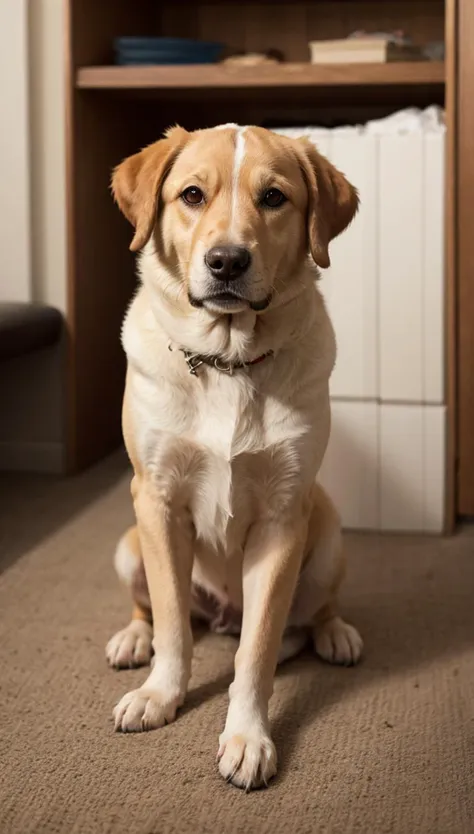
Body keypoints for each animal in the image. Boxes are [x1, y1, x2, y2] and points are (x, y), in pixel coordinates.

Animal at [105, 122, 362, 788]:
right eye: (192, 195)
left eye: (274, 198)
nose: (226, 261)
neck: (227, 361)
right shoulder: (158, 499)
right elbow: (173, 624)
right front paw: (160, 694)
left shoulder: (282, 517)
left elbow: (257, 650)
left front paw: (248, 737)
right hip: (129, 545)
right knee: (152, 610)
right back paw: (131, 641)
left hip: (327, 537)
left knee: (309, 613)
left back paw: (335, 633)